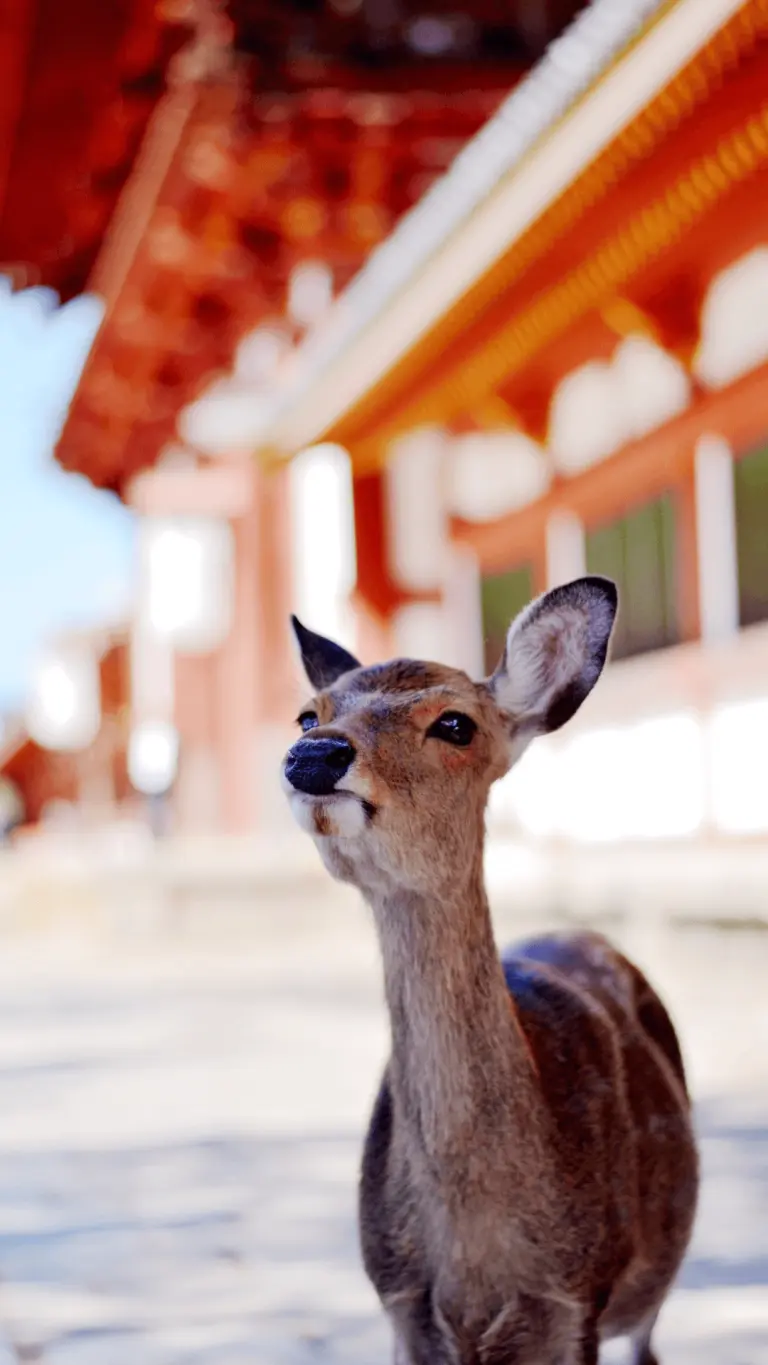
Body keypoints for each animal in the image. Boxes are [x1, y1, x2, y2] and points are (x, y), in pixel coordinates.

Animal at [281, 576, 699, 1365]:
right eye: (307, 711)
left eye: (454, 724)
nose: (312, 754)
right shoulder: (400, 1305)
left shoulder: (579, 1300)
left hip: (649, 1289)